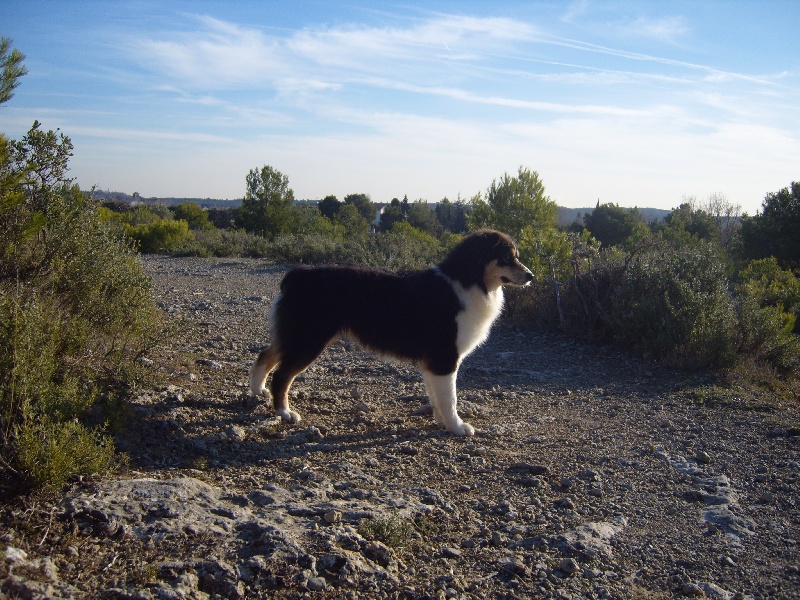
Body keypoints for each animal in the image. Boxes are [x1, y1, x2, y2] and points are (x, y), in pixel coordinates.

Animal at [248, 230, 532, 436]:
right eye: (507, 257)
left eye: (515, 255)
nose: (531, 275)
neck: (467, 281)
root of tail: (297, 274)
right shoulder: (445, 358)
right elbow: (449, 398)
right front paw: (457, 427)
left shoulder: (434, 363)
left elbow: (437, 397)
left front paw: (443, 423)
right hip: (308, 341)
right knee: (282, 375)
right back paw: (284, 412)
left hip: (295, 337)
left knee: (264, 355)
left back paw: (258, 391)